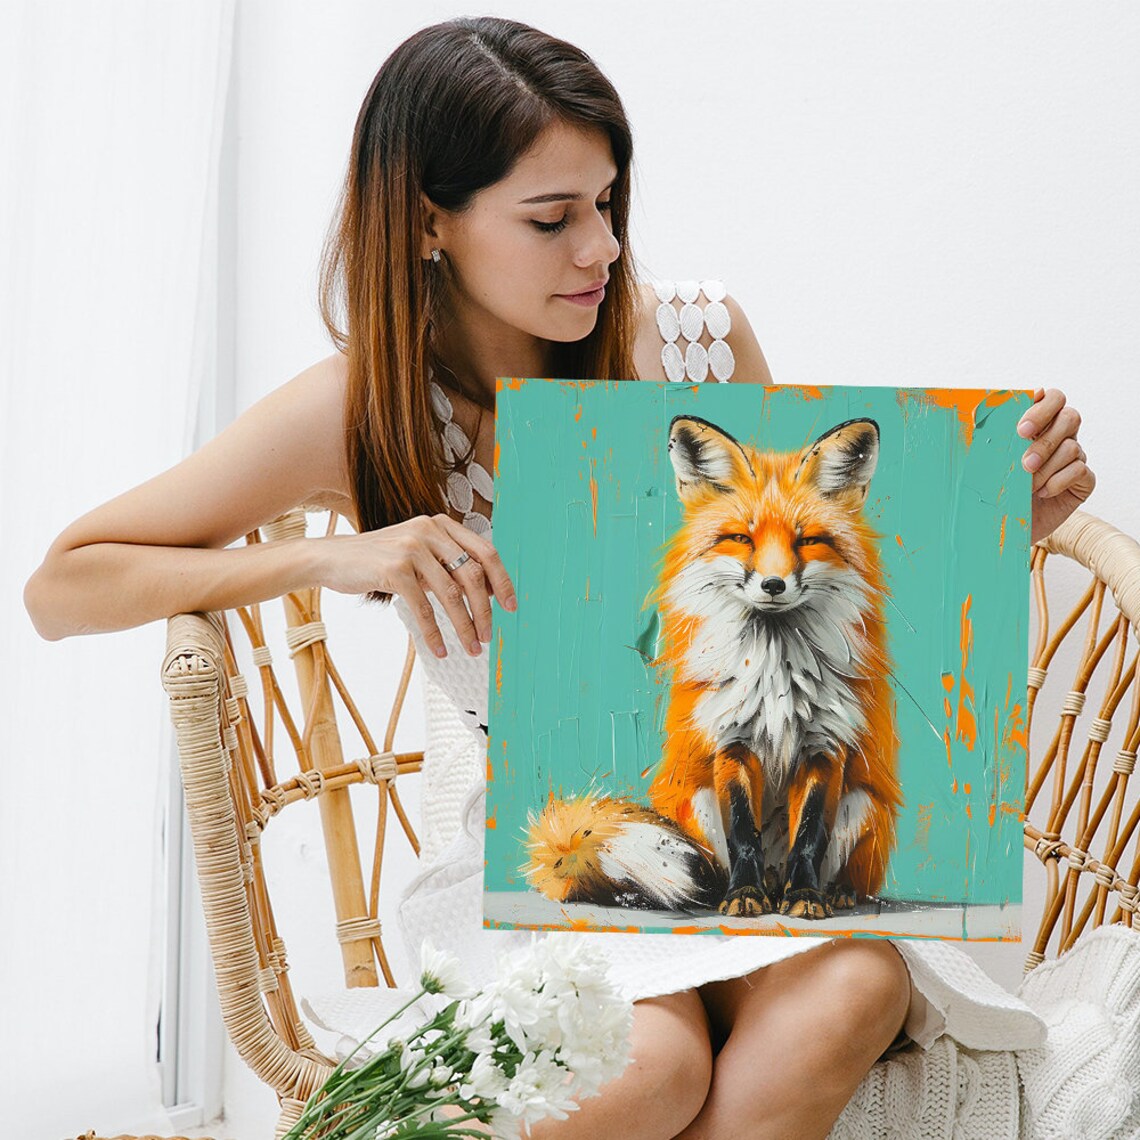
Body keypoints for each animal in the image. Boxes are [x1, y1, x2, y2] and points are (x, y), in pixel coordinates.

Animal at [521, 414, 903, 921]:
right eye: (742, 538)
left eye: (807, 541)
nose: (774, 584)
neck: (775, 674)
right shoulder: (730, 739)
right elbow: (743, 833)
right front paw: (743, 896)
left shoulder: (826, 745)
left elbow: (808, 837)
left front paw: (805, 895)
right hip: (698, 801)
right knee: (717, 872)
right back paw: (741, 892)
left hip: (861, 804)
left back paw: (829, 892)